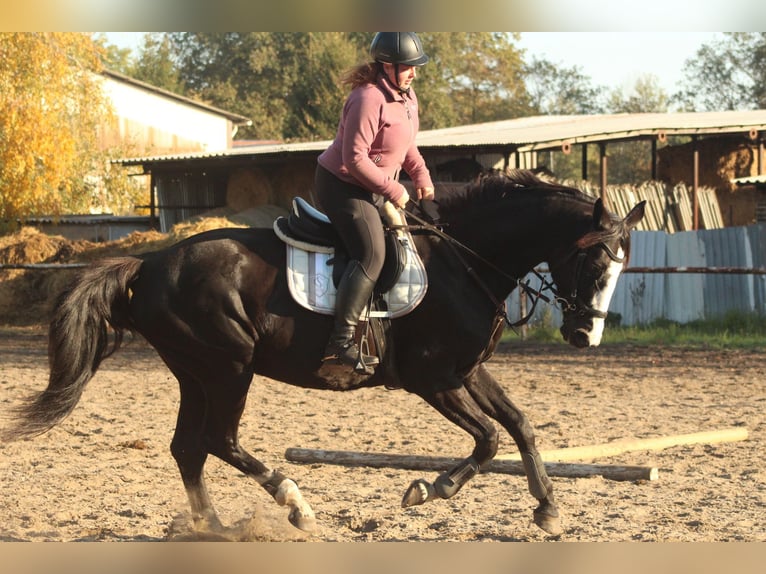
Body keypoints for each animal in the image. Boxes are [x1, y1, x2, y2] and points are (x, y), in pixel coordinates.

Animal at [3, 171, 644, 540]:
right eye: (594, 263)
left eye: (620, 267)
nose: (585, 338)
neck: (465, 260)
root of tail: (150, 262)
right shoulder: (432, 378)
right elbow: (487, 438)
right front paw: (427, 490)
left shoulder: (467, 370)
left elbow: (520, 424)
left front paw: (548, 508)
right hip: (228, 367)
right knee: (218, 440)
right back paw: (294, 505)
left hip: (196, 373)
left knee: (189, 447)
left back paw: (213, 527)